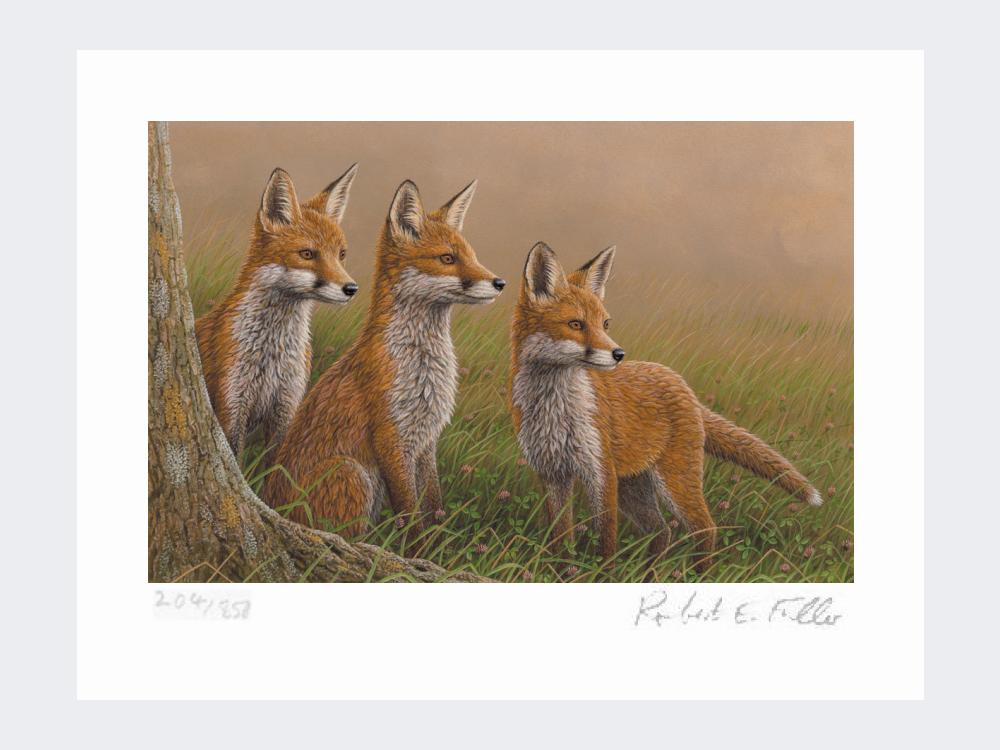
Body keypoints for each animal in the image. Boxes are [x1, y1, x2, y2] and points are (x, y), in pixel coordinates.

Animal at [195, 164, 360, 456]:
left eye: (341, 254)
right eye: (307, 254)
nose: (351, 288)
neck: (273, 353)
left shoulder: (286, 408)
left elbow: (276, 465)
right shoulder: (232, 406)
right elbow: (235, 460)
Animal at [264, 178, 505, 536]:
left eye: (472, 256)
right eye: (447, 258)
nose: (500, 282)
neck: (422, 366)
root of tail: (269, 503)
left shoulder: (426, 440)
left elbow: (433, 508)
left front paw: (435, 545)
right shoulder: (390, 437)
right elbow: (410, 516)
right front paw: (417, 549)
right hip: (351, 472)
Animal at [508, 242, 822, 573]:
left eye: (605, 324)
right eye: (575, 324)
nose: (618, 354)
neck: (554, 409)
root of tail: (679, 381)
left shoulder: (599, 472)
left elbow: (605, 541)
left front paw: (601, 576)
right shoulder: (552, 474)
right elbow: (560, 539)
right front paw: (560, 573)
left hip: (674, 481)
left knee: (705, 528)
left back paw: (698, 576)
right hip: (634, 487)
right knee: (662, 531)